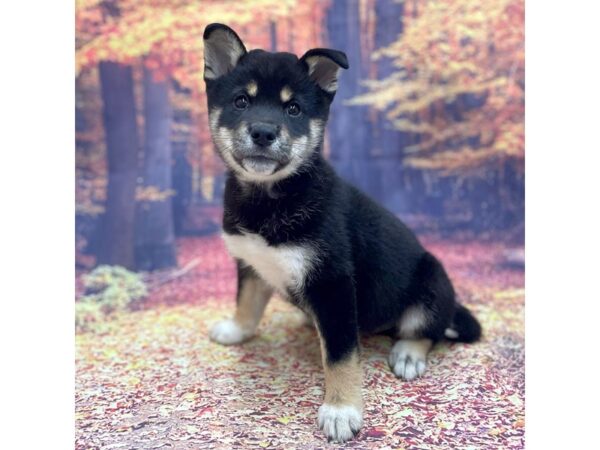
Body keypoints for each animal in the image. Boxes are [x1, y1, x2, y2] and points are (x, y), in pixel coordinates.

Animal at [204, 22, 480, 442]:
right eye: (240, 101)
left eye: (293, 108)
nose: (264, 132)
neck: (271, 198)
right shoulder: (251, 263)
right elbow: (247, 303)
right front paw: (236, 331)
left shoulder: (331, 284)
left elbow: (341, 355)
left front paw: (341, 410)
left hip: (432, 281)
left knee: (427, 328)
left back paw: (407, 353)